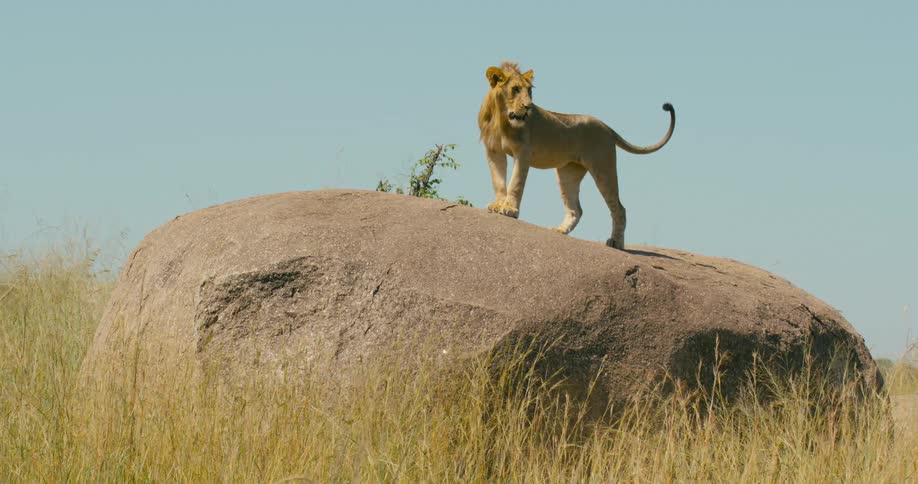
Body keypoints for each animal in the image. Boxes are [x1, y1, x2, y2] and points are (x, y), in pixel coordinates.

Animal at [478, 61, 675, 249]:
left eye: (529, 91)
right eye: (515, 89)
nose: (528, 107)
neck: (501, 118)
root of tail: (606, 126)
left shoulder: (523, 151)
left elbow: (515, 183)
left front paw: (510, 209)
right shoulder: (493, 150)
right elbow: (498, 181)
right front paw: (498, 205)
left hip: (603, 168)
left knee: (619, 209)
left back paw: (616, 242)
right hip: (568, 173)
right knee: (577, 209)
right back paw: (560, 230)